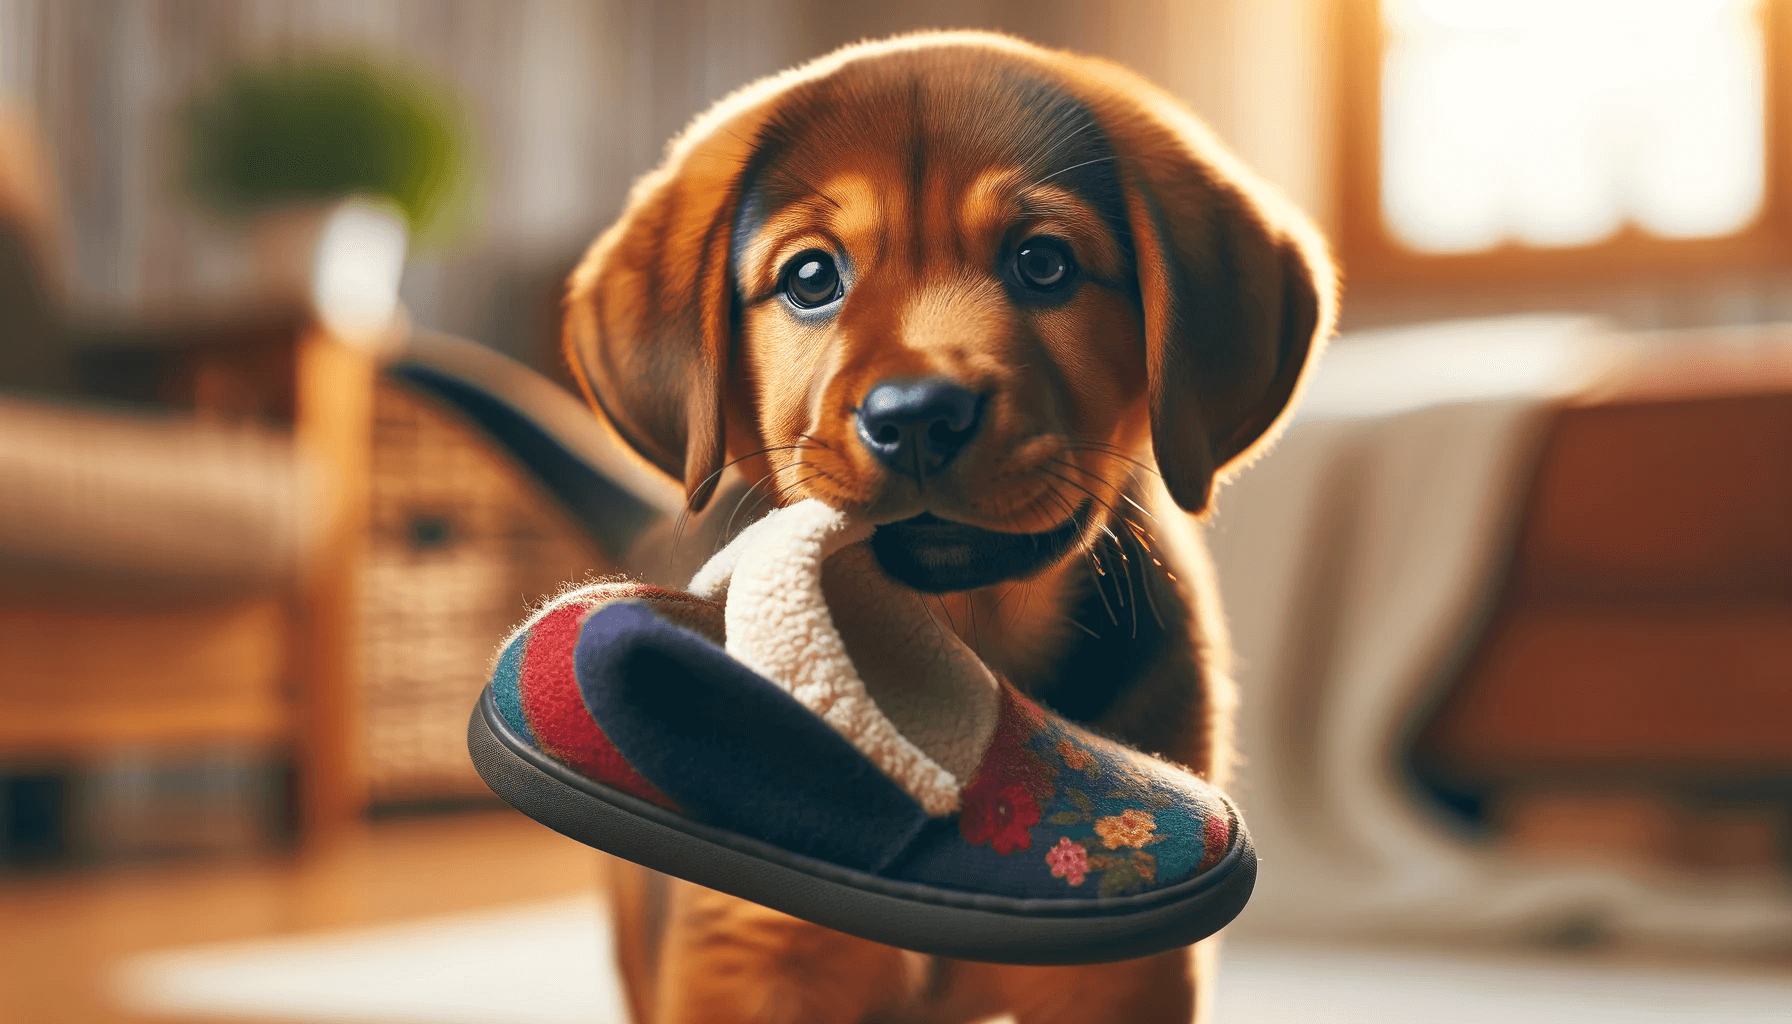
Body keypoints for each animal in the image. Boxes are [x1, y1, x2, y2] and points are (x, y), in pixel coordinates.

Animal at [566, 28, 1340, 1024]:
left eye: (1044, 263)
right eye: (810, 277)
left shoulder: (1127, 974)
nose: (917, 417)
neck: (953, 642)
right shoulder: (741, 951)